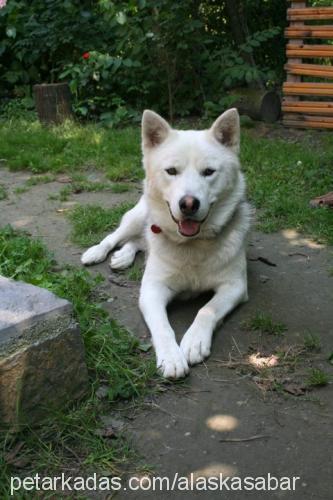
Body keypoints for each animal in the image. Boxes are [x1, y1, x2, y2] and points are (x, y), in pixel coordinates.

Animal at [81, 109, 250, 378]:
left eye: (209, 172)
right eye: (171, 171)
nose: (188, 204)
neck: (192, 245)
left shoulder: (235, 286)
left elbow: (207, 309)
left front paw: (194, 341)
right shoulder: (152, 289)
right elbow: (162, 325)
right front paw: (171, 357)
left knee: (139, 242)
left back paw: (124, 256)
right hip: (137, 216)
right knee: (118, 236)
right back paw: (99, 252)